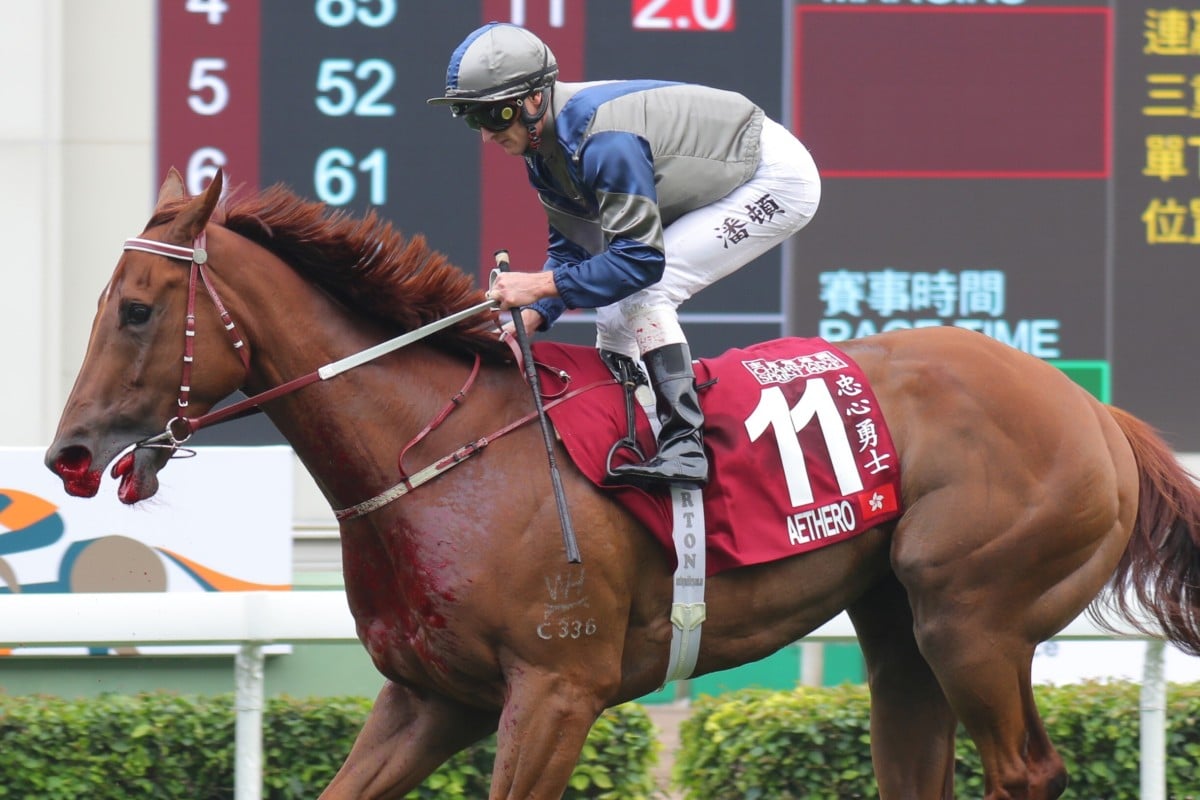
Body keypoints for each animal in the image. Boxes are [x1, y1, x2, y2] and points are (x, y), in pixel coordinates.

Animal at [49, 167, 1200, 796]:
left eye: (138, 309)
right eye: (105, 302)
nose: (67, 453)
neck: (431, 459)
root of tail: (1097, 412)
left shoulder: (557, 690)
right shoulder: (430, 698)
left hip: (976, 616)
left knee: (1025, 768)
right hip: (900, 625)